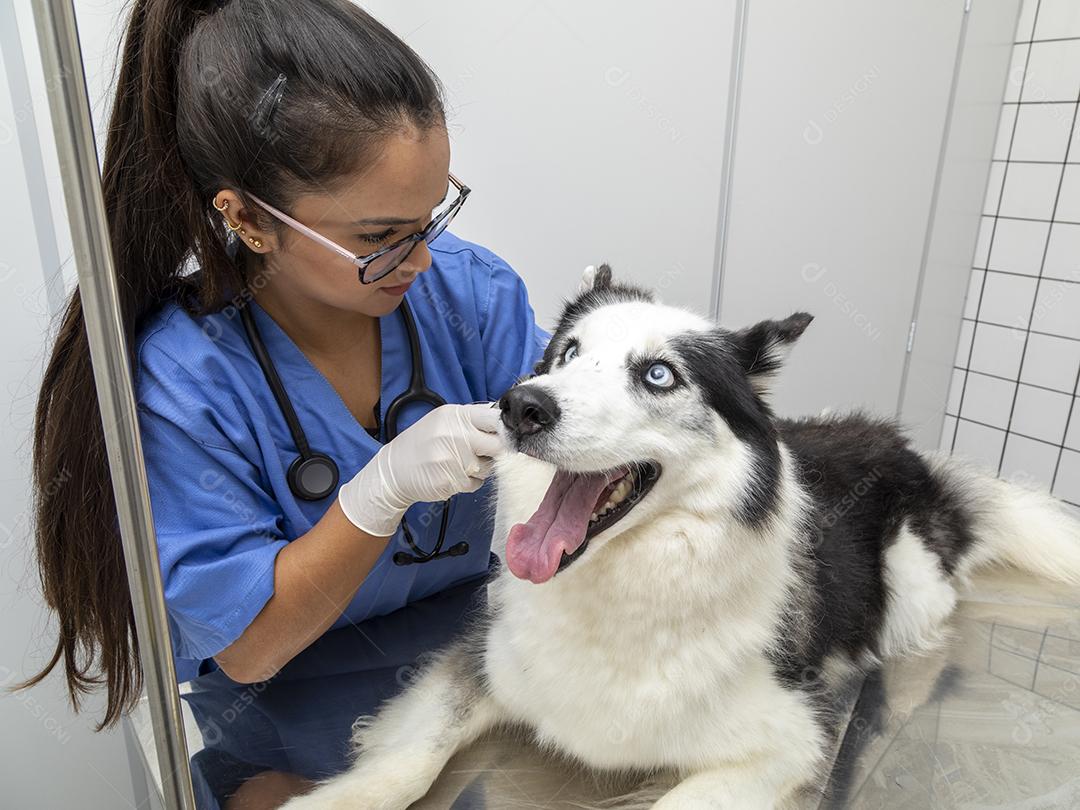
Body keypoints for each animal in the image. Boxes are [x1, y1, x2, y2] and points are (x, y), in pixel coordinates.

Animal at [285, 266, 1080, 810]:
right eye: (567, 354)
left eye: (659, 375)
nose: (522, 406)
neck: (624, 587)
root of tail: (911, 453)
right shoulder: (482, 660)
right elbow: (409, 758)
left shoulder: (793, 738)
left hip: (910, 591)